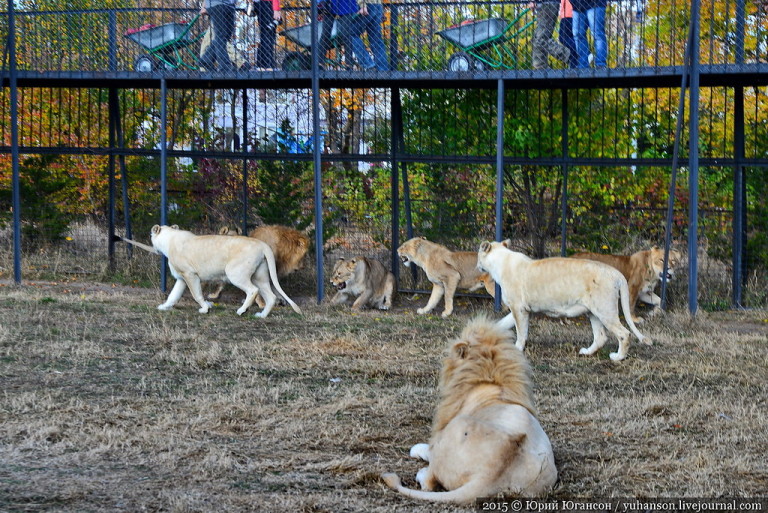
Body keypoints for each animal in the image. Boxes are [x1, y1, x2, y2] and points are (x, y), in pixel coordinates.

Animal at [136, 224, 300, 316]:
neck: (169, 239)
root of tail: (262, 244)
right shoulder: (182, 278)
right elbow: (173, 295)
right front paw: (164, 307)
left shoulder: (190, 275)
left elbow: (197, 295)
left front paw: (205, 309)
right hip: (260, 276)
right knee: (270, 297)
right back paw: (261, 315)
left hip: (235, 273)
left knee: (253, 291)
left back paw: (241, 311)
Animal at [380, 318, 556, 502]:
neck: (492, 383)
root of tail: (489, 473)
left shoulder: (438, 438)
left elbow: (423, 448)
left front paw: (417, 450)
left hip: (456, 426)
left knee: (429, 481)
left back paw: (421, 472)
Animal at [480, 240, 648, 360]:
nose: (478, 266)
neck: (501, 260)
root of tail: (617, 274)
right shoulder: (522, 309)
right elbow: (503, 323)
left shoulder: (518, 308)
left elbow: (521, 332)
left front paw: (517, 349)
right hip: (593, 312)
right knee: (601, 337)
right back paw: (586, 352)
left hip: (605, 310)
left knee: (624, 334)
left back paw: (618, 357)